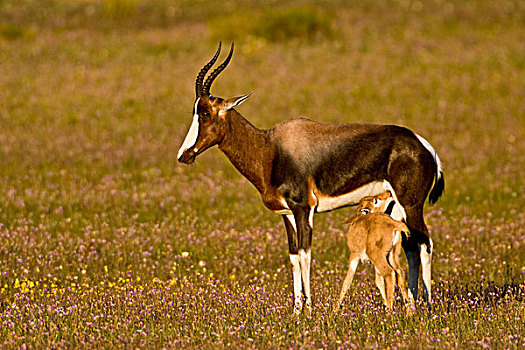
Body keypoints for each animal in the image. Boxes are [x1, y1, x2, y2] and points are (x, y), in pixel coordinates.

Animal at [176, 43, 442, 314]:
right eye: (195, 111)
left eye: (205, 113)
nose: (184, 155)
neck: (271, 149)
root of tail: (423, 145)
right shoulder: (287, 214)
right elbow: (294, 257)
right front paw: (296, 311)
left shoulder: (304, 208)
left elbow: (306, 254)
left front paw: (311, 310)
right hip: (395, 209)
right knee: (410, 246)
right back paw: (412, 304)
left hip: (411, 205)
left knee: (424, 244)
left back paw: (427, 305)